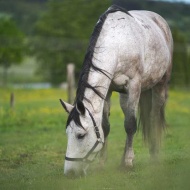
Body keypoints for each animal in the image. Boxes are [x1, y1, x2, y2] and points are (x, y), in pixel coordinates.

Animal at [60, 4, 173, 177]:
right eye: (67, 133)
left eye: (80, 135)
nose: (70, 173)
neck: (117, 44)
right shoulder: (107, 90)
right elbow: (106, 127)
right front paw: (102, 164)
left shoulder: (134, 85)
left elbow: (131, 125)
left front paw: (128, 163)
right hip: (125, 96)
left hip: (160, 84)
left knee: (153, 116)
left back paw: (154, 156)